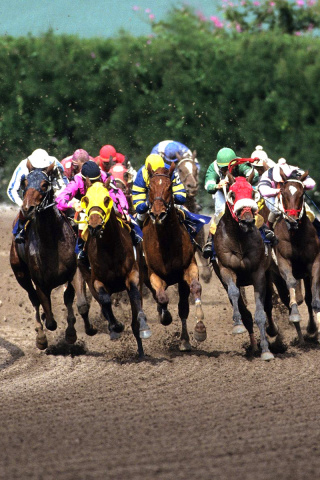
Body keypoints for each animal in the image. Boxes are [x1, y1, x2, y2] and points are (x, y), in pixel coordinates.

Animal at [9, 161, 96, 348]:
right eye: (24, 183)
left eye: (44, 184)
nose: (27, 208)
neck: (50, 241)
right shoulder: (40, 282)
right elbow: (50, 321)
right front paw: (44, 332)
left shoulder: (75, 271)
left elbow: (81, 304)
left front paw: (83, 330)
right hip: (20, 274)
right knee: (34, 299)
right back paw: (40, 336)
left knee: (67, 298)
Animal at [78, 179, 151, 356]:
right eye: (86, 199)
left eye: (106, 199)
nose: (95, 227)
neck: (109, 247)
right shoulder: (96, 281)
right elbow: (105, 301)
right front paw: (116, 326)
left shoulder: (133, 274)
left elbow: (134, 295)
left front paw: (143, 327)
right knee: (103, 304)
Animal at [141, 163, 206, 350]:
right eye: (149, 187)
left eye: (170, 187)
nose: (158, 214)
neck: (166, 241)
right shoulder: (153, 275)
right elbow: (162, 297)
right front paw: (165, 317)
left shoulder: (188, 268)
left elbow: (195, 288)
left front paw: (199, 329)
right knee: (158, 298)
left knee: (183, 306)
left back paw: (184, 340)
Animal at [212, 172, 276, 360]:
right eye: (232, 194)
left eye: (252, 193)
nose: (248, 221)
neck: (239, 239)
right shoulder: (226, 269)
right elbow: (234, 294)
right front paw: (238, 324)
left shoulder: (259, 274)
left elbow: (261, 313)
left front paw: (266, 350)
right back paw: (253, 345)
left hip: (269, 275)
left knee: (268, 305)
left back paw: (271, 332)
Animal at [272, 171, 320, 344]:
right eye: (283, 192)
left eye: (302, 193)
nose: (292, 220)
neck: (295, 235)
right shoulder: (283, 261)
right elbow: (291, 283)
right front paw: (295, 315)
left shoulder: (314, 262)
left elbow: (314, 291)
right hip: (275, 277)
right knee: (286, 299)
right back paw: (300, 336)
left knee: (307, 298)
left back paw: (311, 329)